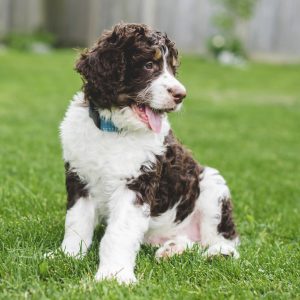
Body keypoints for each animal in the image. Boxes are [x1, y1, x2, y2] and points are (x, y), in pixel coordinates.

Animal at [58, 22, 239, 284]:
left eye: (172, 68)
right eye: (148, 65)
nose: (181, 95)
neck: (115, 130)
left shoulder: (138, 183)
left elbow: (118, 233)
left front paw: (114, 276)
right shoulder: (78, 177)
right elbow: (76, 222)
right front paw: (67, 256)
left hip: (212, 185)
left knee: (222, 238)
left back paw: (219, 252)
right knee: (191, 242)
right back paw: (173, 249)